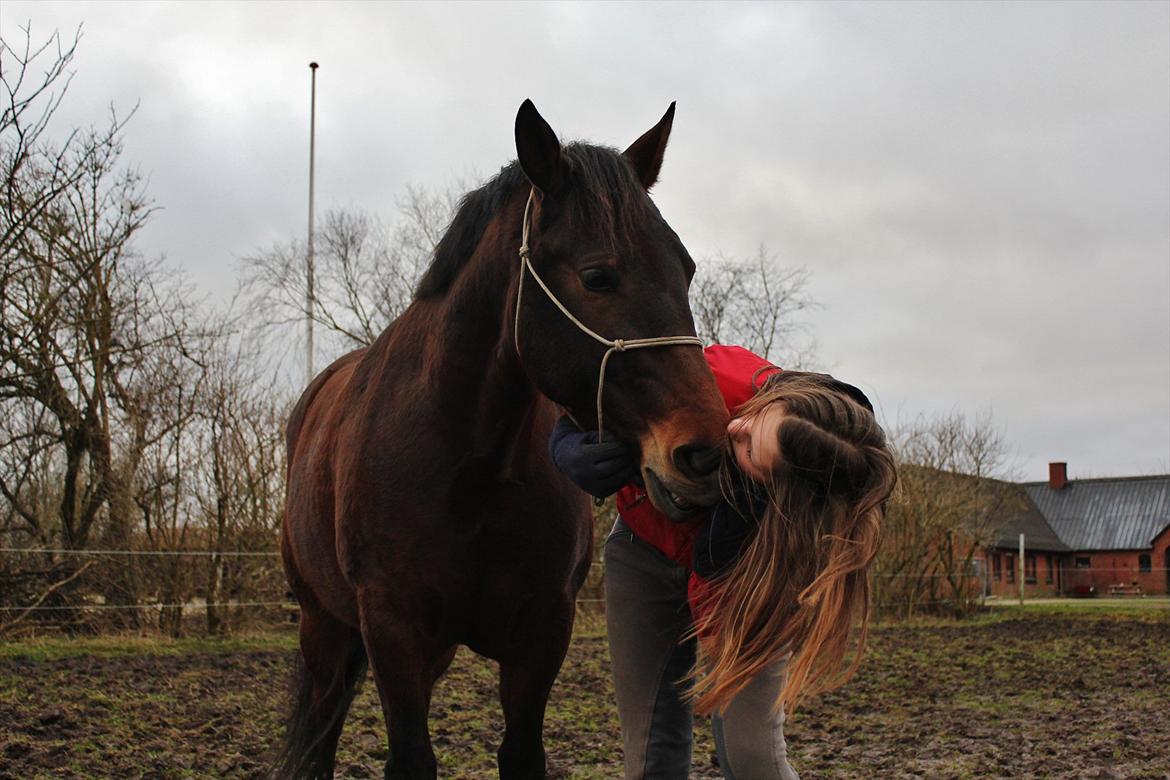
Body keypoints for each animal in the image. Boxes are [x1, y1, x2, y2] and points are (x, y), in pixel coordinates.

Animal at [277, 100, 725, 776]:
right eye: (597, 276)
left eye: (687, 269)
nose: (704, 450)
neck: (469, 469)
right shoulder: (393, 631)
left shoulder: (540, 634)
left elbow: (521, 753)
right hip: (323, 629)